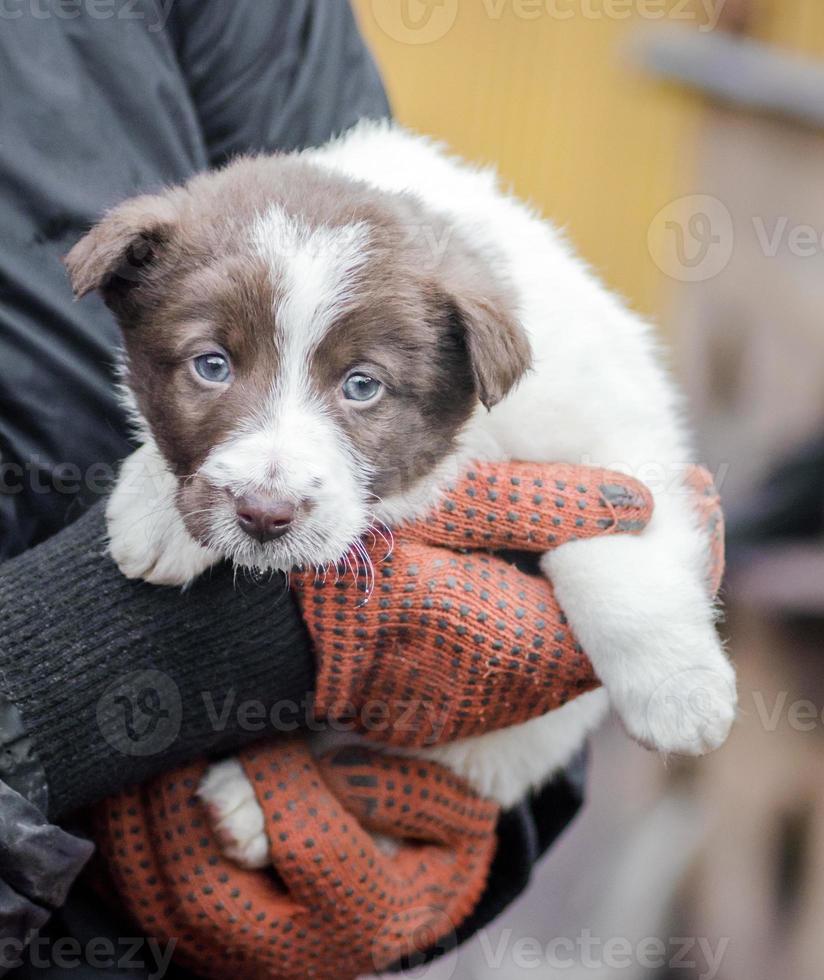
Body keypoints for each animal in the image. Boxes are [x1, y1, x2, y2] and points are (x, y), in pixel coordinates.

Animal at [64, 120, 732, 864]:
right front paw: (156, 513)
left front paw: (676, 692)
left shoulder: (617, 428)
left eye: (362, 385)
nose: (265, 515)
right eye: (212, 365)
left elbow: (613, 542)